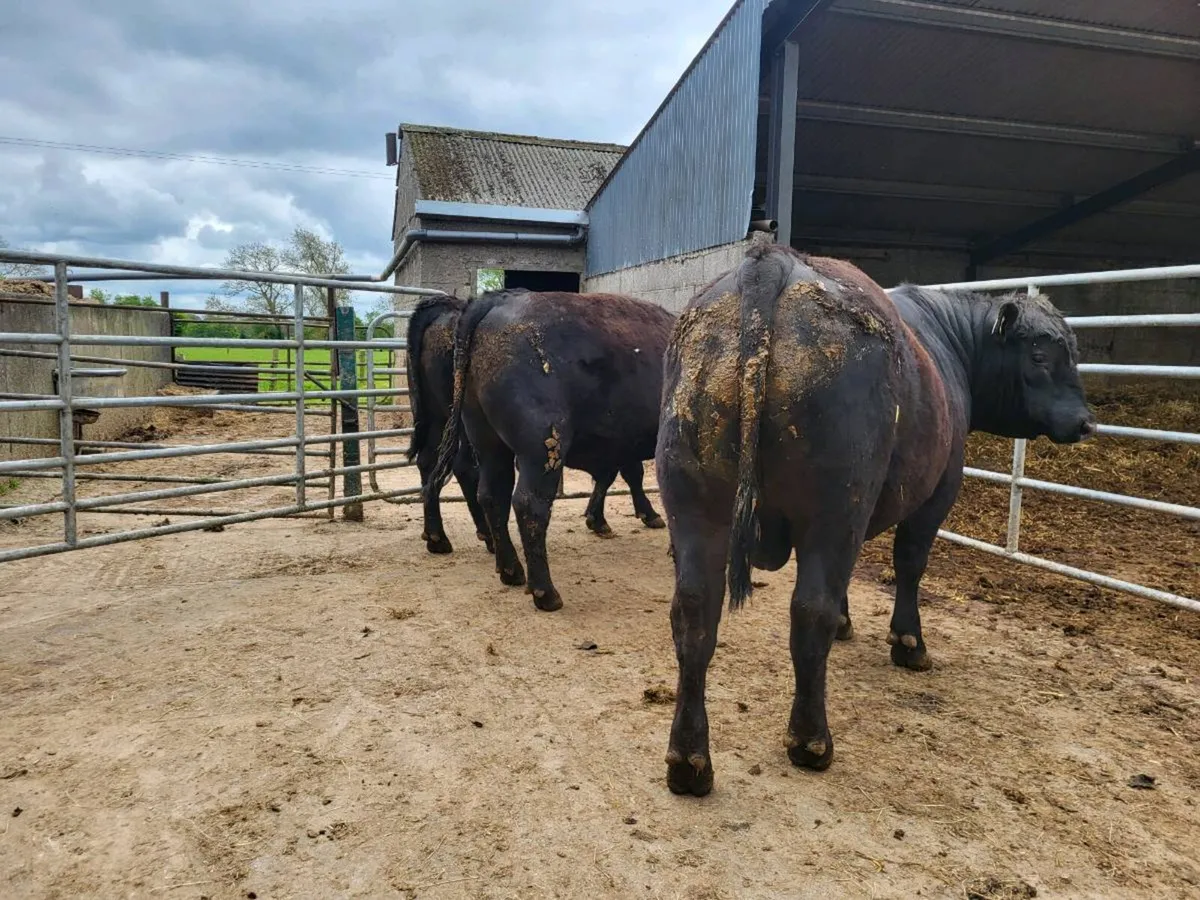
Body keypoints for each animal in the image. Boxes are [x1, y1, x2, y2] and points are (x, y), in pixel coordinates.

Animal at [429, 289, 677, 610]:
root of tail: (497, 300)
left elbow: (615, 476)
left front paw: (599, 519)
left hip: (489, 444)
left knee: (492, 496)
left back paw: (511, 570)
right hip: (542, 448)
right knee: (529, 505)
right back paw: (545, 592)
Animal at [656, 243, 1095, 796]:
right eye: (1040, 356)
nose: (1086, 421)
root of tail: (770, 260)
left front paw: (850, 623)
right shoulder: (937, 490)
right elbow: (909, 564)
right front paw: (908, 642)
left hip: (696, 507)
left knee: (694, 616)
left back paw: (689, 762)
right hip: (836, 505)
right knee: (809, 610)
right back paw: (811, 742)